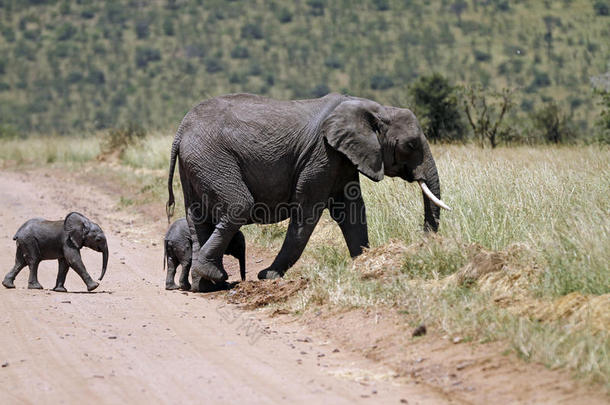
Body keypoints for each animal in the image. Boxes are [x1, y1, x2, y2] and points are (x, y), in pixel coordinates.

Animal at [165, 93, 446, 288]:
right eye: (410, 145)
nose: (423, 244)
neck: (373, 108)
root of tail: (180, 130)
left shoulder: (342, 158)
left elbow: (351, 211)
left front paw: (363, 264)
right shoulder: (322, 155)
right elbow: (307, 214)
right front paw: (268, 276)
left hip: (196, 163)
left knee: (198, 217)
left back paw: (206, 287)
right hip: (211, 158)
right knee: (238, 205)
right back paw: (213, 276)